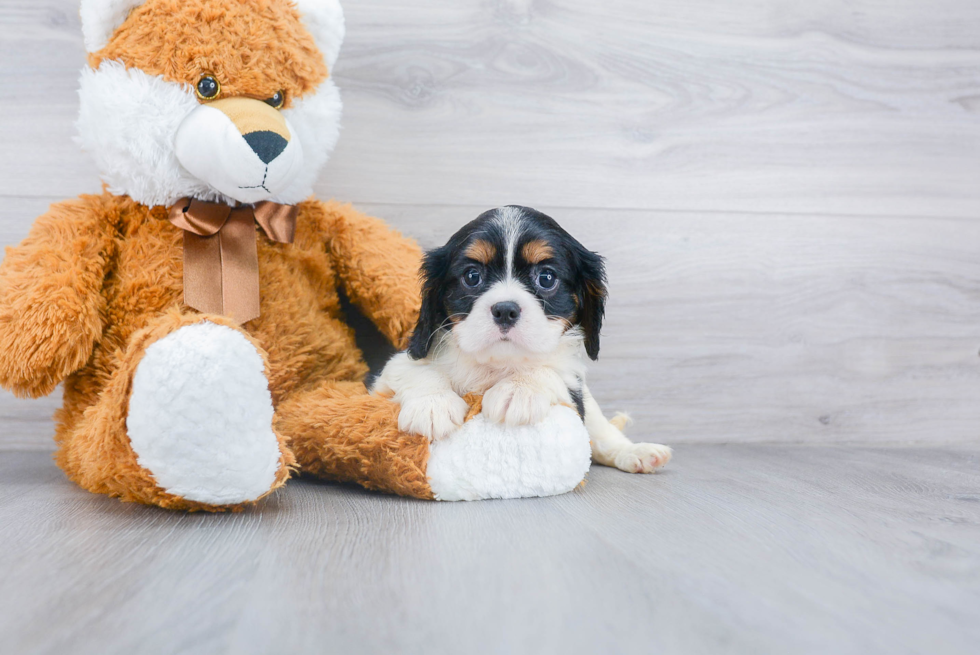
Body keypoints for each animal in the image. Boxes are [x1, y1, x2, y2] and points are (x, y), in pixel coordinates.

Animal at [372, 205, 668, 472]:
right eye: (472, 276)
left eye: (546, 277)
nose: (505, 310)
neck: (496, 364)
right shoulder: (385, 379)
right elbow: (413, 369)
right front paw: (433, 405)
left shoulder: (574, 388)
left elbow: (550, 371)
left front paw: (518, 389)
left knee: (602, 434)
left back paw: (636, 452)